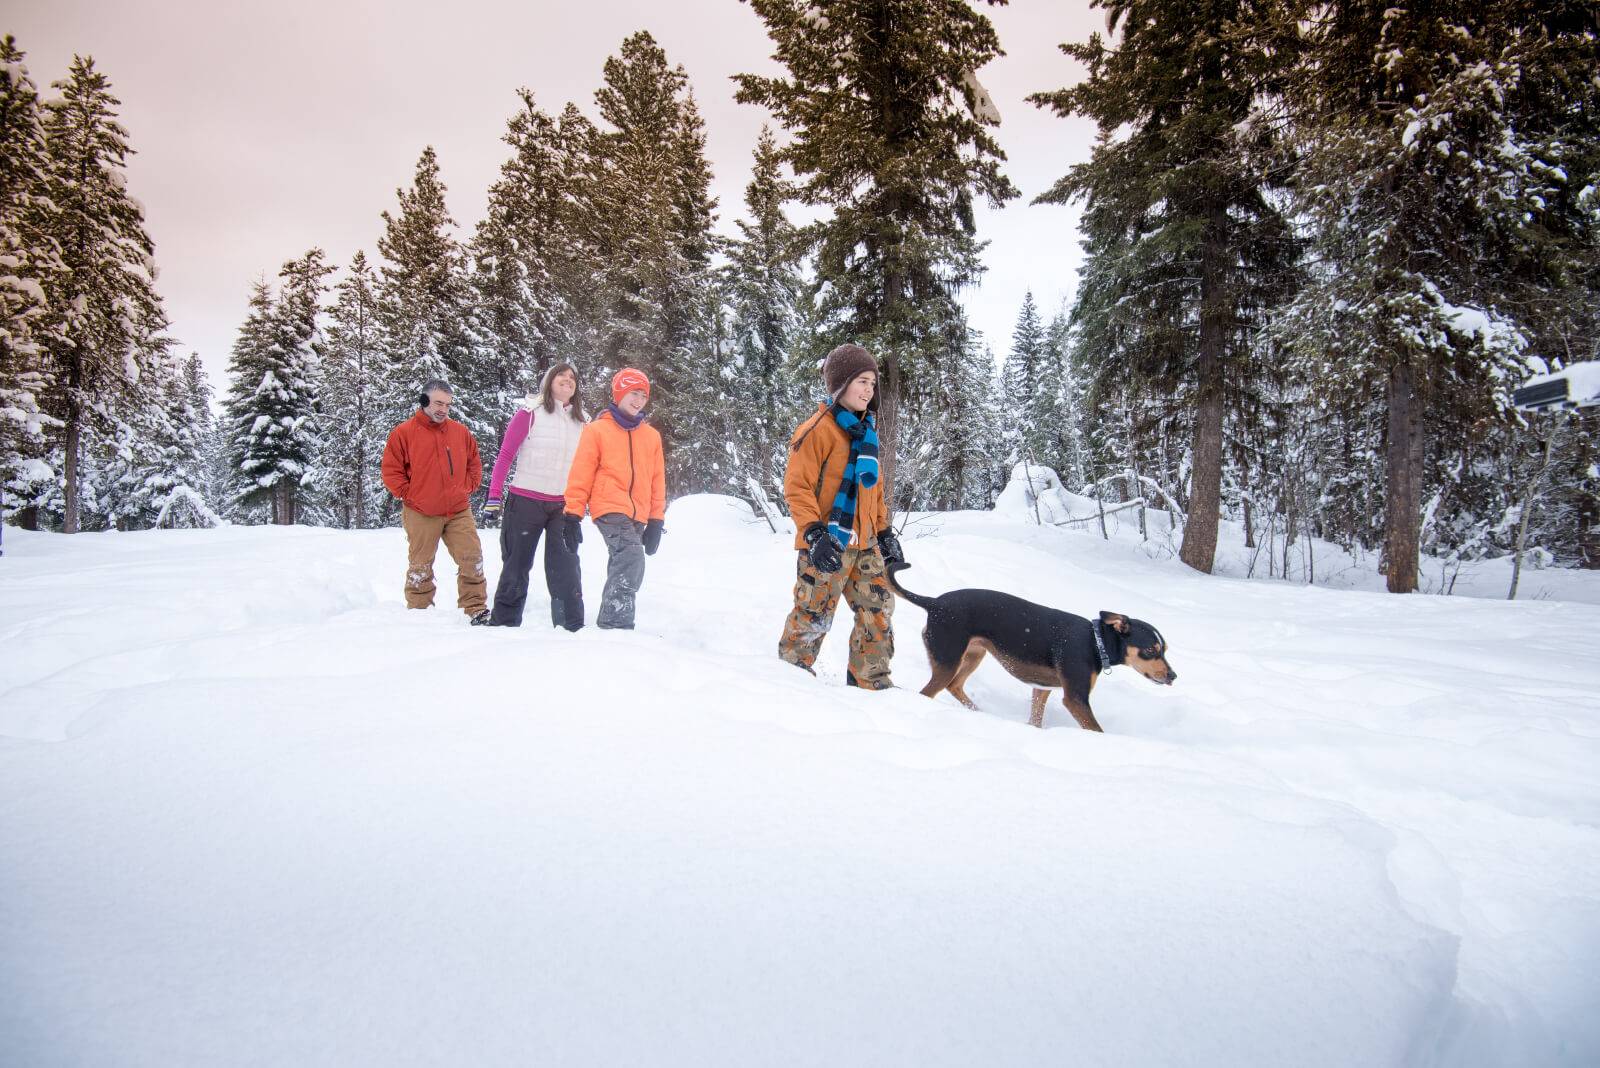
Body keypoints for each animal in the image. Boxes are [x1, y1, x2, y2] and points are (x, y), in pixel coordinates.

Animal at [889, 562, 1177, 729]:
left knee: (955, 686)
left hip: (973, 655)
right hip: (949, 659)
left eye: (1164, 649)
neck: (1095, 642)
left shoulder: (1042, 689)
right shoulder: (1075, 698)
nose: (1173, 675)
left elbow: (1036, 720)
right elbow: (1096, 729)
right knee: (929, 691)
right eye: (1150, 650)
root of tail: (934, 603)